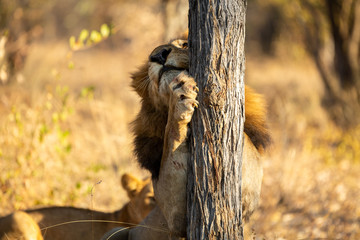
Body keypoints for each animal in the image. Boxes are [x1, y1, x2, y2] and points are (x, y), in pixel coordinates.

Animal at [105, 38, 270, 239]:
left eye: (185, 44)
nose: (158, 54)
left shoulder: (247, 196)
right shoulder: (174, 217)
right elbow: (171, 140)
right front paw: (181, 94)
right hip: (117, 230)